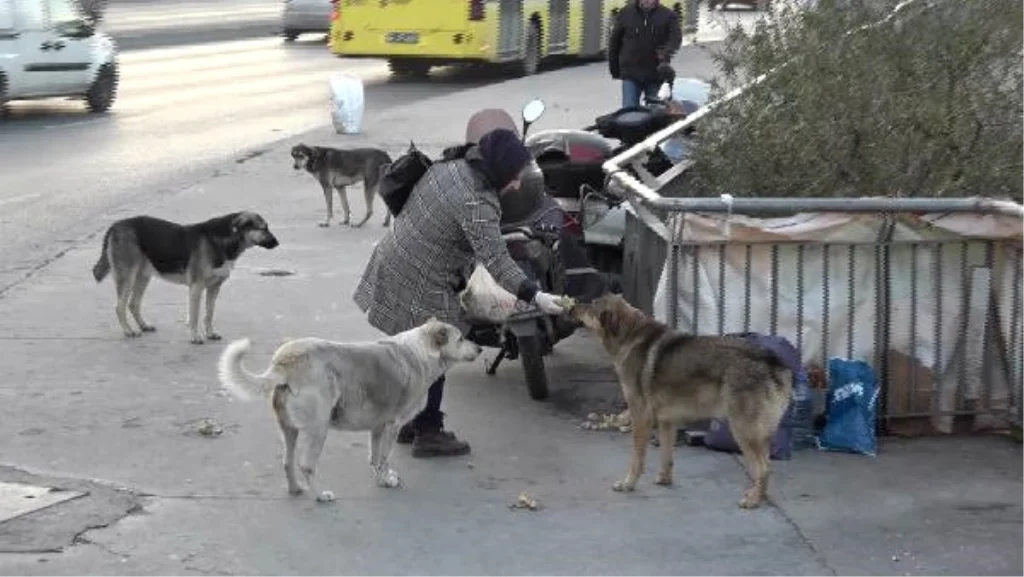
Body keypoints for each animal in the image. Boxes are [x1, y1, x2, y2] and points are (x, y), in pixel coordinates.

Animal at [89, 214, 276, 346]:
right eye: (263, 228)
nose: (278, 243)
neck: (226, 239)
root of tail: (116, 225)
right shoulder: (196, 288)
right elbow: (194, 315)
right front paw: (195, 337)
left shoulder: (214, 287)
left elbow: (209, 313)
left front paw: (210, 333)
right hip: (127, 276)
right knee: (119, 306)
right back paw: (128, 331)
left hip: (143, 276)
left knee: (133, 304)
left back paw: (144, 326)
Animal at [216, 317, 479, 504]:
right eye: (461, 338)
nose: (478, 348)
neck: (420, 351)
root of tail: (285, 362)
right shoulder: (392, 426)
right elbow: (384, 458)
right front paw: (386, 481)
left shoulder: (378, 427)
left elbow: (375, 457)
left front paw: (380, 478)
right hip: (319, 428)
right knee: (306, 465)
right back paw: (320, 495)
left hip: (289, 429)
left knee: (287, 462)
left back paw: (296, 489)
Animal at [573, 295, 794, 508]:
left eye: (591, 305)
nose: (573, 306)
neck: (630, 336)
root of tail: (771, 360)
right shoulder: (667, 422)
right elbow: (666, 457)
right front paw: (664, 479)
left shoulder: (641, 418)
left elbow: (637, 459)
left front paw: (628, 484)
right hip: (758, 434)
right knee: (765, 468)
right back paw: (757, 495)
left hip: (743, 431)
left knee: (764, 468)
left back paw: (753, 501)